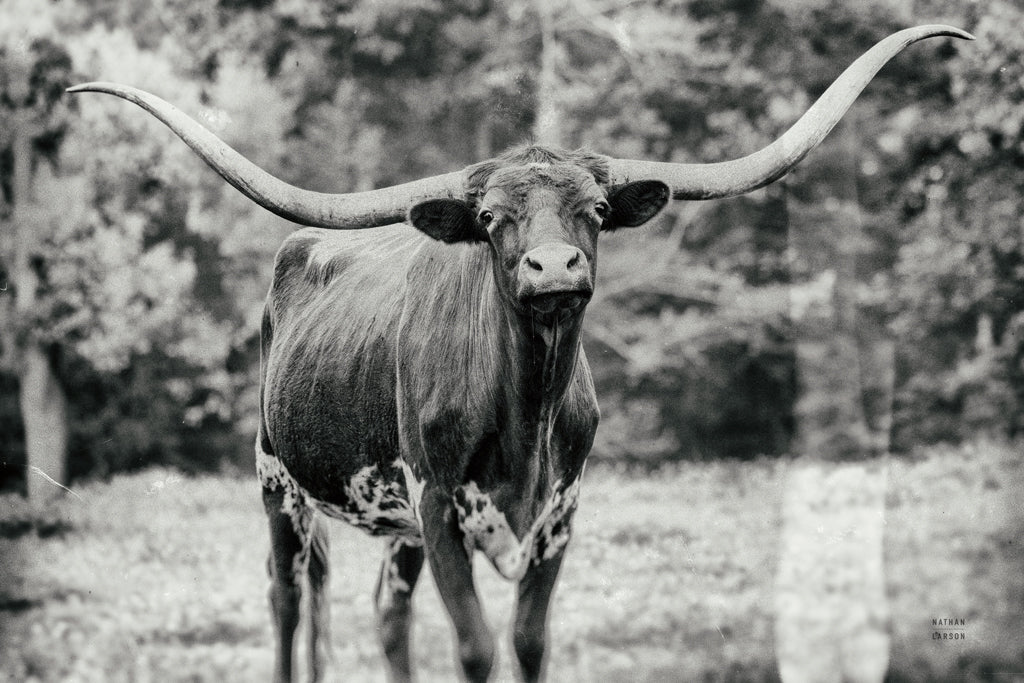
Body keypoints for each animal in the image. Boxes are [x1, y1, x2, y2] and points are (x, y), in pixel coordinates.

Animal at [70, 24, 966, 679]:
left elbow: (530, 641)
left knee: (385, 612)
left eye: (596, 210)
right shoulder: (438, 506)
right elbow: (474, 646)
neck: (525, 409)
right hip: (277, 483)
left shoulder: (558, 516)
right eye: (493, 218)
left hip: (388, 522)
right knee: (287, 604)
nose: (554, 269)